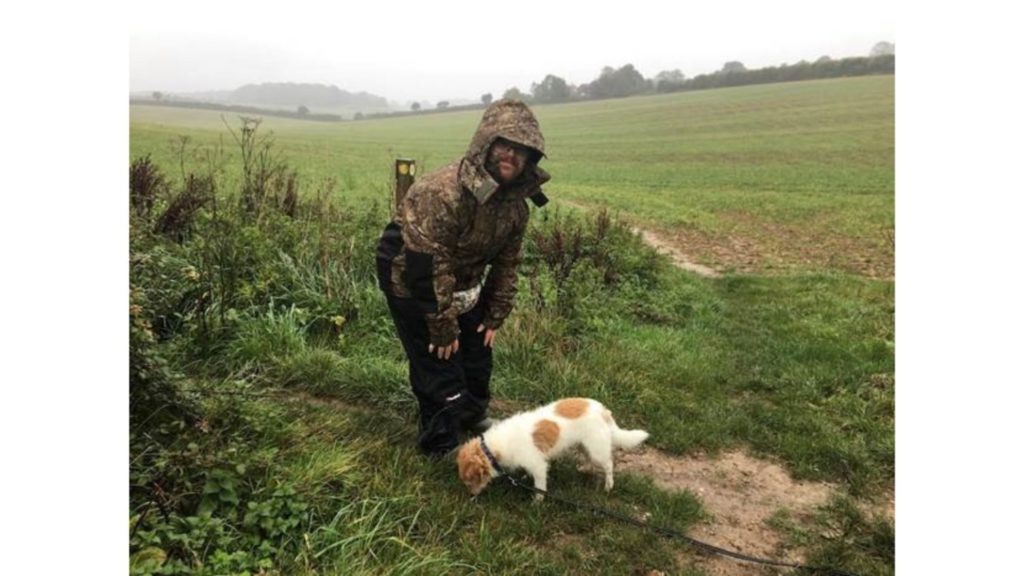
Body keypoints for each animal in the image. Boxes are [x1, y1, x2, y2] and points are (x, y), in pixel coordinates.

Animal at [456, 393, 647, 498]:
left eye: (470, 481)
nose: (471, 496)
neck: (491, 448)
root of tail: (602, 410)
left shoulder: (539, 466)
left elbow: (540, 486)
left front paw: (537, 503)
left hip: (597, 449)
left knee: (608, 465)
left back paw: (608, 486)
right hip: (584, 444)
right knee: (588, 458)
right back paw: (585, 468)